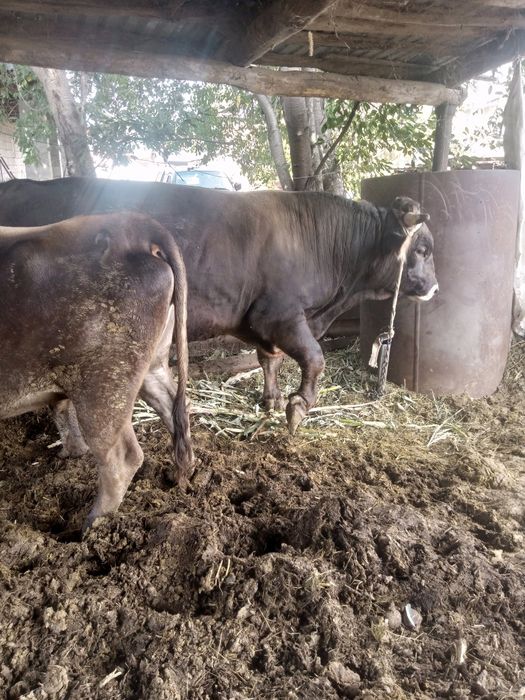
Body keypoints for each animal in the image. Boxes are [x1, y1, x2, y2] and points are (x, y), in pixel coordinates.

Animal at [0, 178, 438, 433]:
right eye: (423, 249)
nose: (434, 288)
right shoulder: (279, 313)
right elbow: (314, 359)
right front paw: (298, 407)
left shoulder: (260, 321)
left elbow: (269, 358)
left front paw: (271, 399)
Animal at [0, 212, 193, 530]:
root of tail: (133, 224)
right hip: (152, 365)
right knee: (176, 411)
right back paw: (183, 476)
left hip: (103, 384)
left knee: (122, 455)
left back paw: (90, 526)